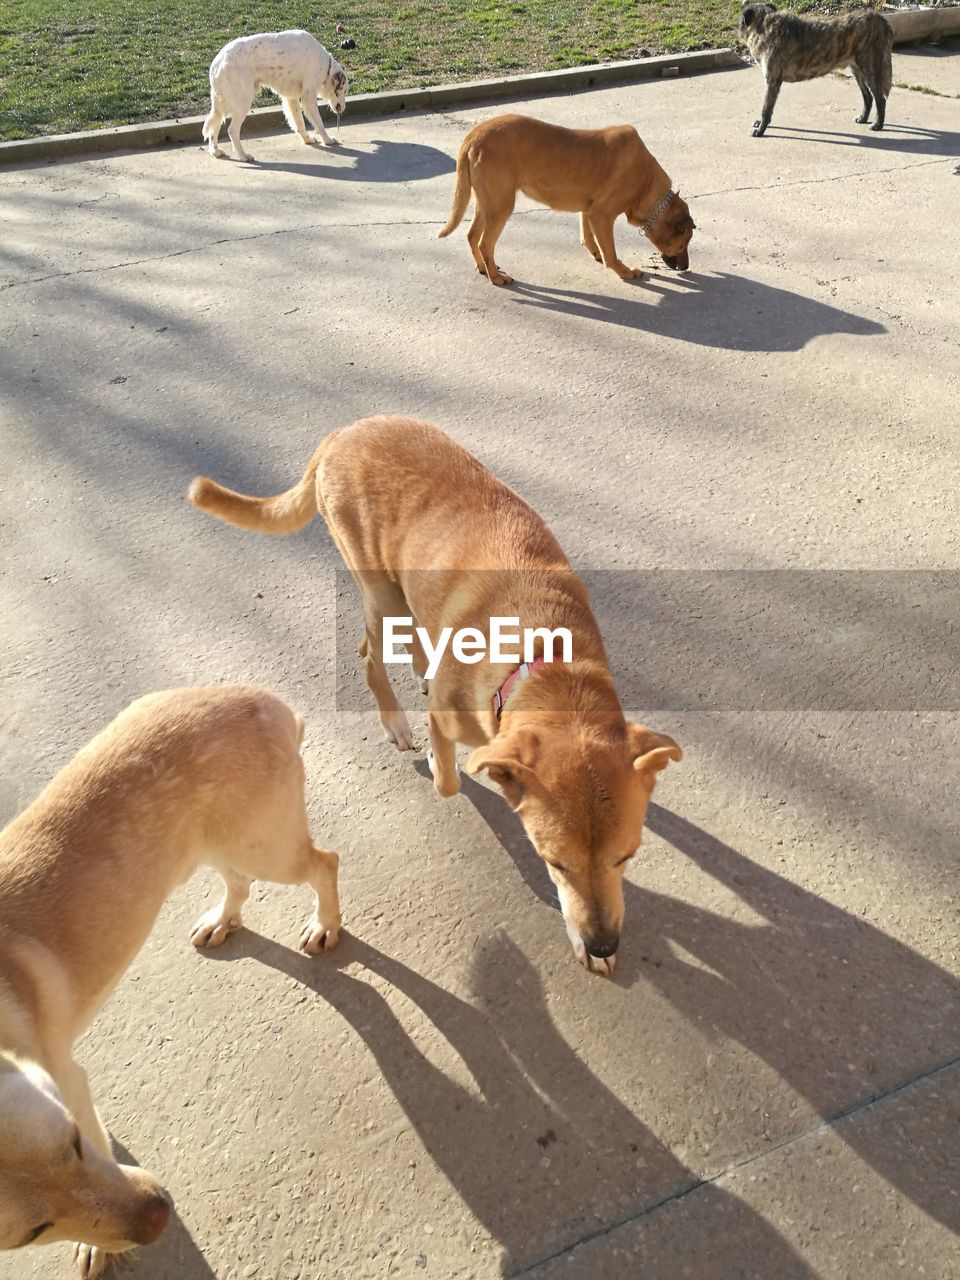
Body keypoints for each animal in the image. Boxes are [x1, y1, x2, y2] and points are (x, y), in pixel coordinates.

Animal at [0, 691, 343, 1280]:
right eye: (31, 1234)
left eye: (74, 1144)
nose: (159, 1217)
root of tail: (262, 699)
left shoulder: (67, 1081)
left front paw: (97, 1246)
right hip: (220, 844)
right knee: (238, 884)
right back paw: (223, 919)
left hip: (266, 846)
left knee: (324, 864)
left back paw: (324, 922)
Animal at [189, 414, 686, 972]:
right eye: (552, 861)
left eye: (628, 856)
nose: (602, 943)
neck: (544, 659)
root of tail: (346, 430)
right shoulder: (454, 723)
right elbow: (448, 781)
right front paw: (435, 759)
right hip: (381, 592)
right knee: (371, 654)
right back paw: (396, 718)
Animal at [203, 30, 350, 162]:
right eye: (344, 91)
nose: (343, 108)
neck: (325, 65)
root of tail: (217, 62)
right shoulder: (308, 97)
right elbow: (319, 123)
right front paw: (328, 140)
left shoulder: (291, 98)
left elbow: (299, 123)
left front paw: (307, 139)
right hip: (242, 101)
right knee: (232, 130)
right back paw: (243, 156)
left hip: (221, 105)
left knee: (214, 126)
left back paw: (215, 151)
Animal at [440, 113, 696, 286]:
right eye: (684, 242)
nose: (686, 267)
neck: (647, 183)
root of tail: (473, 136)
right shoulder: (602, 215)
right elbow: (611, 253)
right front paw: (624, 271)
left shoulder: (589, 211)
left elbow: (589, 236)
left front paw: (596, 252)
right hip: (501, 206)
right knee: (485, 243)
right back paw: (496, 277)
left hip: (485, 203)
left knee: (472, 236)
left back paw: (484, 268)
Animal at [742, 4, 896, 136]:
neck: (765, 25)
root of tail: (880, 18)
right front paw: (760, 124)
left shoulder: (772, 82)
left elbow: (766, 109)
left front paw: (761, 129)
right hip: (858, 70)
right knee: (868, 97)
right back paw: (863, 118)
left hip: (870, 69)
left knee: (880, 99)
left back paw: (878, 124)